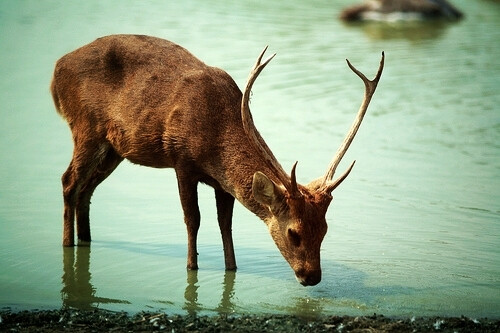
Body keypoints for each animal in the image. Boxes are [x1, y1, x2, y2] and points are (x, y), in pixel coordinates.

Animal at [50, 35, 384, 286]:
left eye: (325, 230)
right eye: (294, 232)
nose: (312, 277)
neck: (216, 141)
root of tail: (56, 71)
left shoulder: (222, 184)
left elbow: (226, 224)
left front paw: (231, 268)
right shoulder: (182, 160)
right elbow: (193, 218)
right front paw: (192, 268)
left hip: (114, 149)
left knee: (86, 189)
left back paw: (85, 240)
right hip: (86, 126)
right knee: (68, 181)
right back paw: (67, 245)